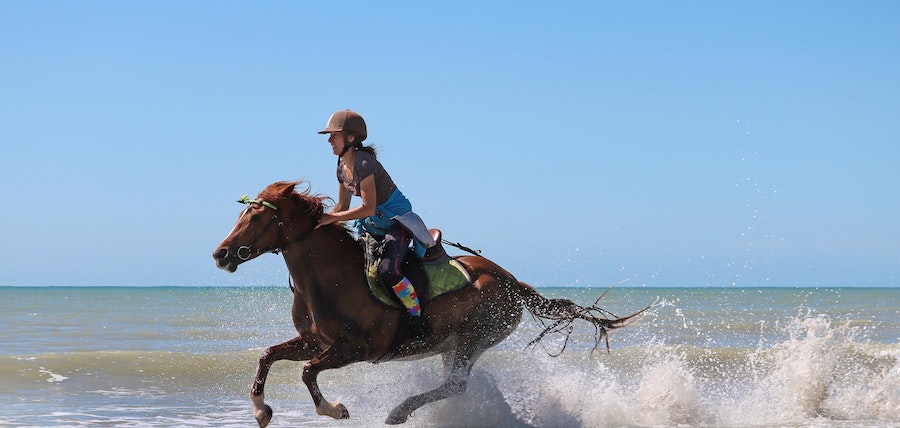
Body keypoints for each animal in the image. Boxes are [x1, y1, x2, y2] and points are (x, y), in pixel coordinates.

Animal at [212, 181, 648, 426]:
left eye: (255, 218)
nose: (220, 255)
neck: (331, 278)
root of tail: (511, 282)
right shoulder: (315, 343)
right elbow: (268, 356)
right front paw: (261, 411)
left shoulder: (355, 349)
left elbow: (306, 372)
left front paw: (334, 409)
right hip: (451, 344)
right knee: (453, 383)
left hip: (475, 338)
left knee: (456, 384)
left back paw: (398, 412)